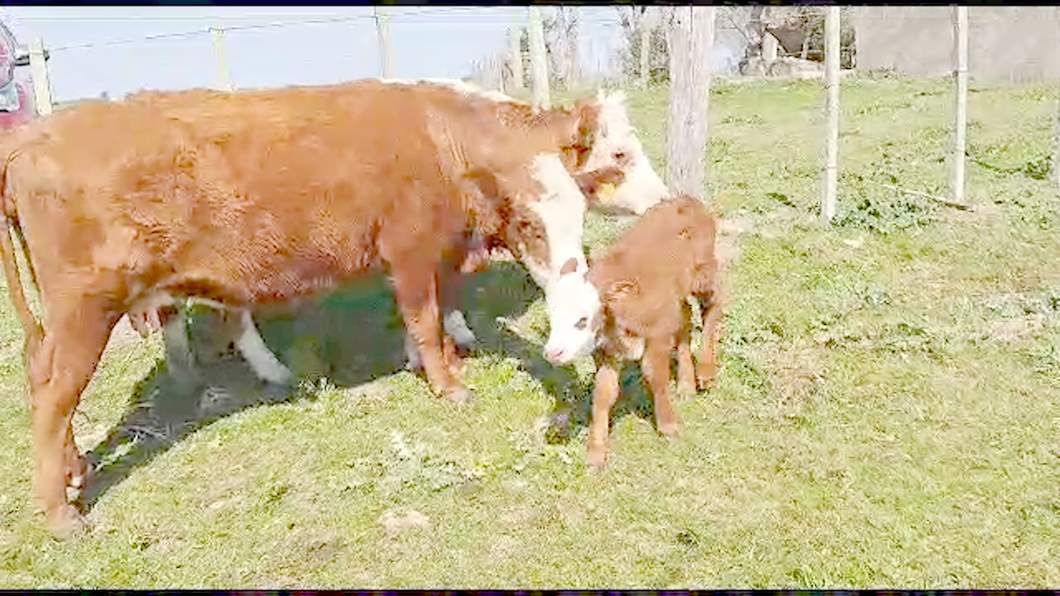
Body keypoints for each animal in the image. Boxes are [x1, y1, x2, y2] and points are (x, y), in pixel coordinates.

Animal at [0, 77, 631, 534]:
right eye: (527, 221)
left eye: (579, 212)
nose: (576, 293)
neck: (438, 141)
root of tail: (35, 137)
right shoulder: (409, 248)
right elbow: (424, 318)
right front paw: (449, 385)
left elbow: (426, 319)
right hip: (85, 309)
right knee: (53, 398)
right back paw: (60, 512)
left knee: (42, 379)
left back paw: (75, 471)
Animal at [542, 195, 725, 468]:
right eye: (552, 319)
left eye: (582, 321)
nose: (552, 353)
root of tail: (684, 200)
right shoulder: (606, 350)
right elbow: (603, 393)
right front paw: (596, 452)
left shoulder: (657, 333)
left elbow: (655, 376)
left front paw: (668, 425)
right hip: (678, 295)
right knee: (685, 320)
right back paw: (686, 385)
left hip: (703, 273)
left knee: (712, 307)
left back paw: (705, 372)